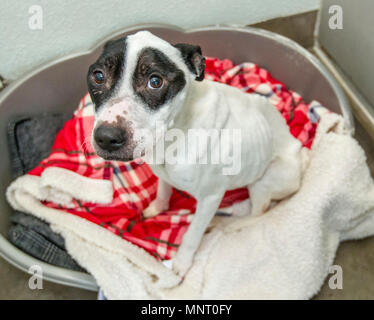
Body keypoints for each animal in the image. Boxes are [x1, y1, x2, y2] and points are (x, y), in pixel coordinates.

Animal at [86, 30, 302, 276]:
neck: (173, 137)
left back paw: (229, 224)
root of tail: (300, 151)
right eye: (98, 76)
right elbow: (163, 190)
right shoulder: (163, 174)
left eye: (155, 81)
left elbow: (192, 235)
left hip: (266, 180)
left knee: (258, 214)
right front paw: (157, 208)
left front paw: (181, 264)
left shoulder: (210, 198)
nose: (106, 137)